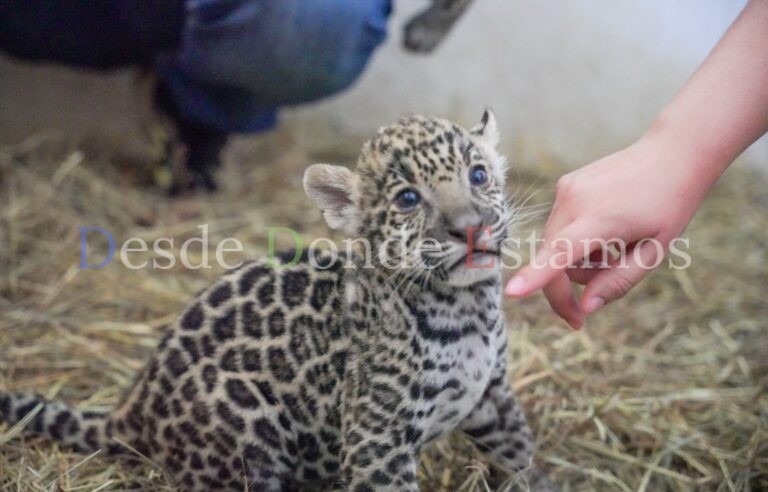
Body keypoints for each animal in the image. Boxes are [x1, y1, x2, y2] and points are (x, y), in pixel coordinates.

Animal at [0, 111, 544, 491]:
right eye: (408, 199)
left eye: (478, 175)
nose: (470, 228)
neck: (467, 309)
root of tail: (135, 405)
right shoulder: (377, 440)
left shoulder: (493, 395)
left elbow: (521, 455)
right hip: (247, 435)